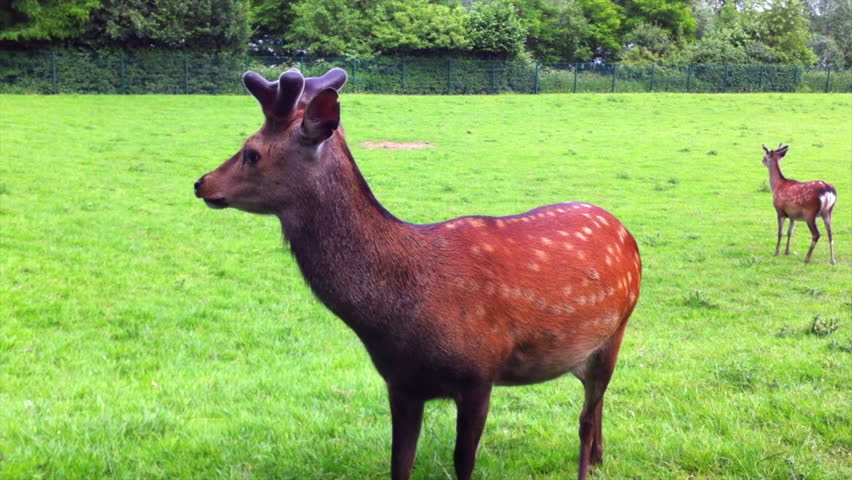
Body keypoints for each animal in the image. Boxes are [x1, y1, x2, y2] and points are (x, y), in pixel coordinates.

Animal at [194, 67, 642, 480]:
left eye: (251, 151)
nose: (202, 183)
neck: (399, 311)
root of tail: (624, 230)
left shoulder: (480, 371)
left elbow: (463, 462)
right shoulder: (400, 382)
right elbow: (400, 462)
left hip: (618, 326)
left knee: (585, 416)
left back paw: (588, 462)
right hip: (580, 350)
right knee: (595, 402)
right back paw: (600, 457)